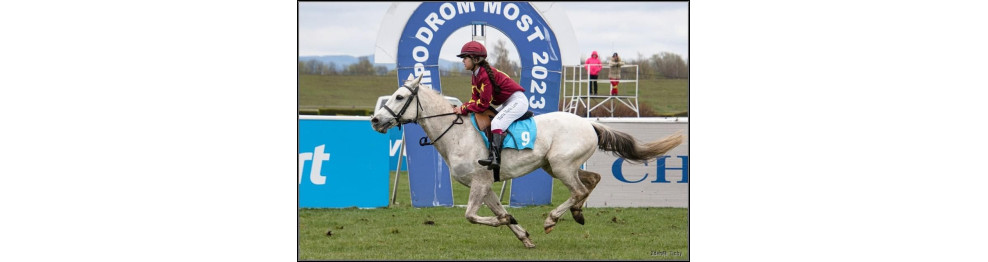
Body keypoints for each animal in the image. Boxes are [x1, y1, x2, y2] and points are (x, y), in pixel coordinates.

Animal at [368, 75, 680, 248]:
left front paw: (510, 220)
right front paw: (523, 235)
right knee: (593, 180)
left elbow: (471, 215)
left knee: (579, 189)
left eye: (400, 96)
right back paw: (577, 213)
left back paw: (553, 219)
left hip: (562, 165)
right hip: (555, 166)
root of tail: (590, 123)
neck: (456, 133)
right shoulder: (484, 184)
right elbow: (496, 211)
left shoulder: (479, 182)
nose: (375, 120)